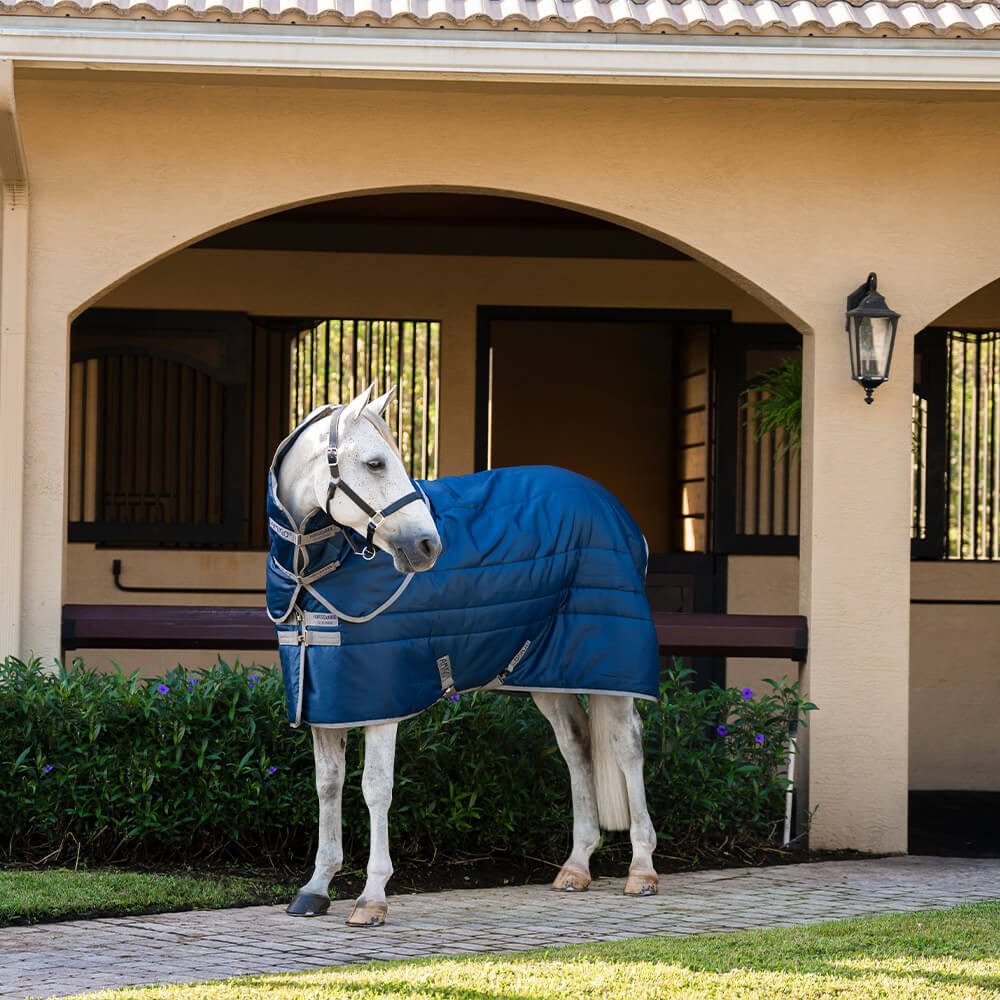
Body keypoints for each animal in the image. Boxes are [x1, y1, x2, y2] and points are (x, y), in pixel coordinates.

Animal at [270, 384, 660, 927]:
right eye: (374, 463)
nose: (428, 546)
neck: (315, 574)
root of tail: (615, 511)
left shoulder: (382, 701)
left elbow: (374, 787)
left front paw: (372, 898)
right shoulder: (327, 700)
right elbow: (328, 784)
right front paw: (316, 888)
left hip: (610, 669)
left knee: (627, 747)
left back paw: (642, 870)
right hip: (548, 675)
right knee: (576, 746)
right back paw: (576, 867)